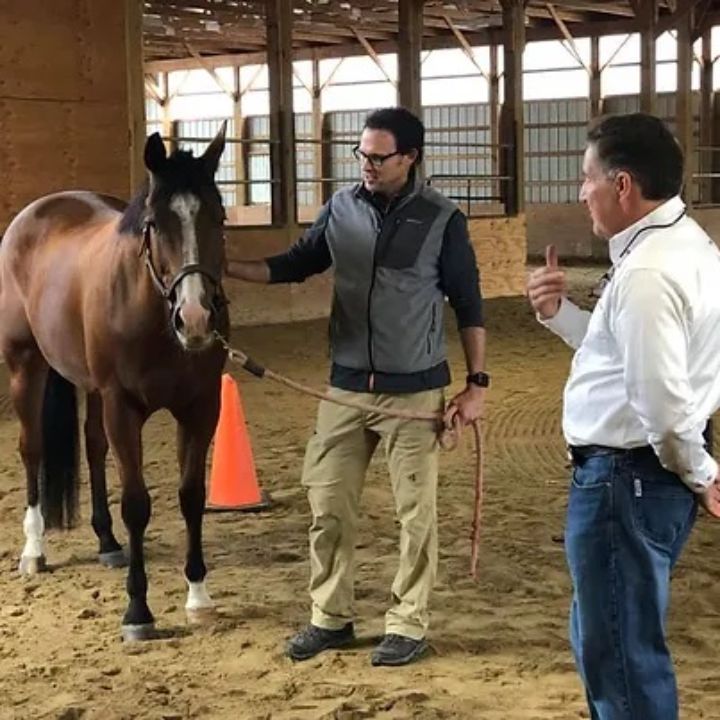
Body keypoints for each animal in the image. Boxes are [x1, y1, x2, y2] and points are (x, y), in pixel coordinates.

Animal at [0, 124, 230, 640]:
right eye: (155, 224)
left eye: (219, 215)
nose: (196, 318)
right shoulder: (122, 406)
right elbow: (137, 504)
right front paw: (138, 611)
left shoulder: (201, 407)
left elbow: (191, 497)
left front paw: (198, 596)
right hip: (26, 365)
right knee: (32, 450)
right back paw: (34, 551)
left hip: (88, 386)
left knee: (92, 446)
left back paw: (106, 541)